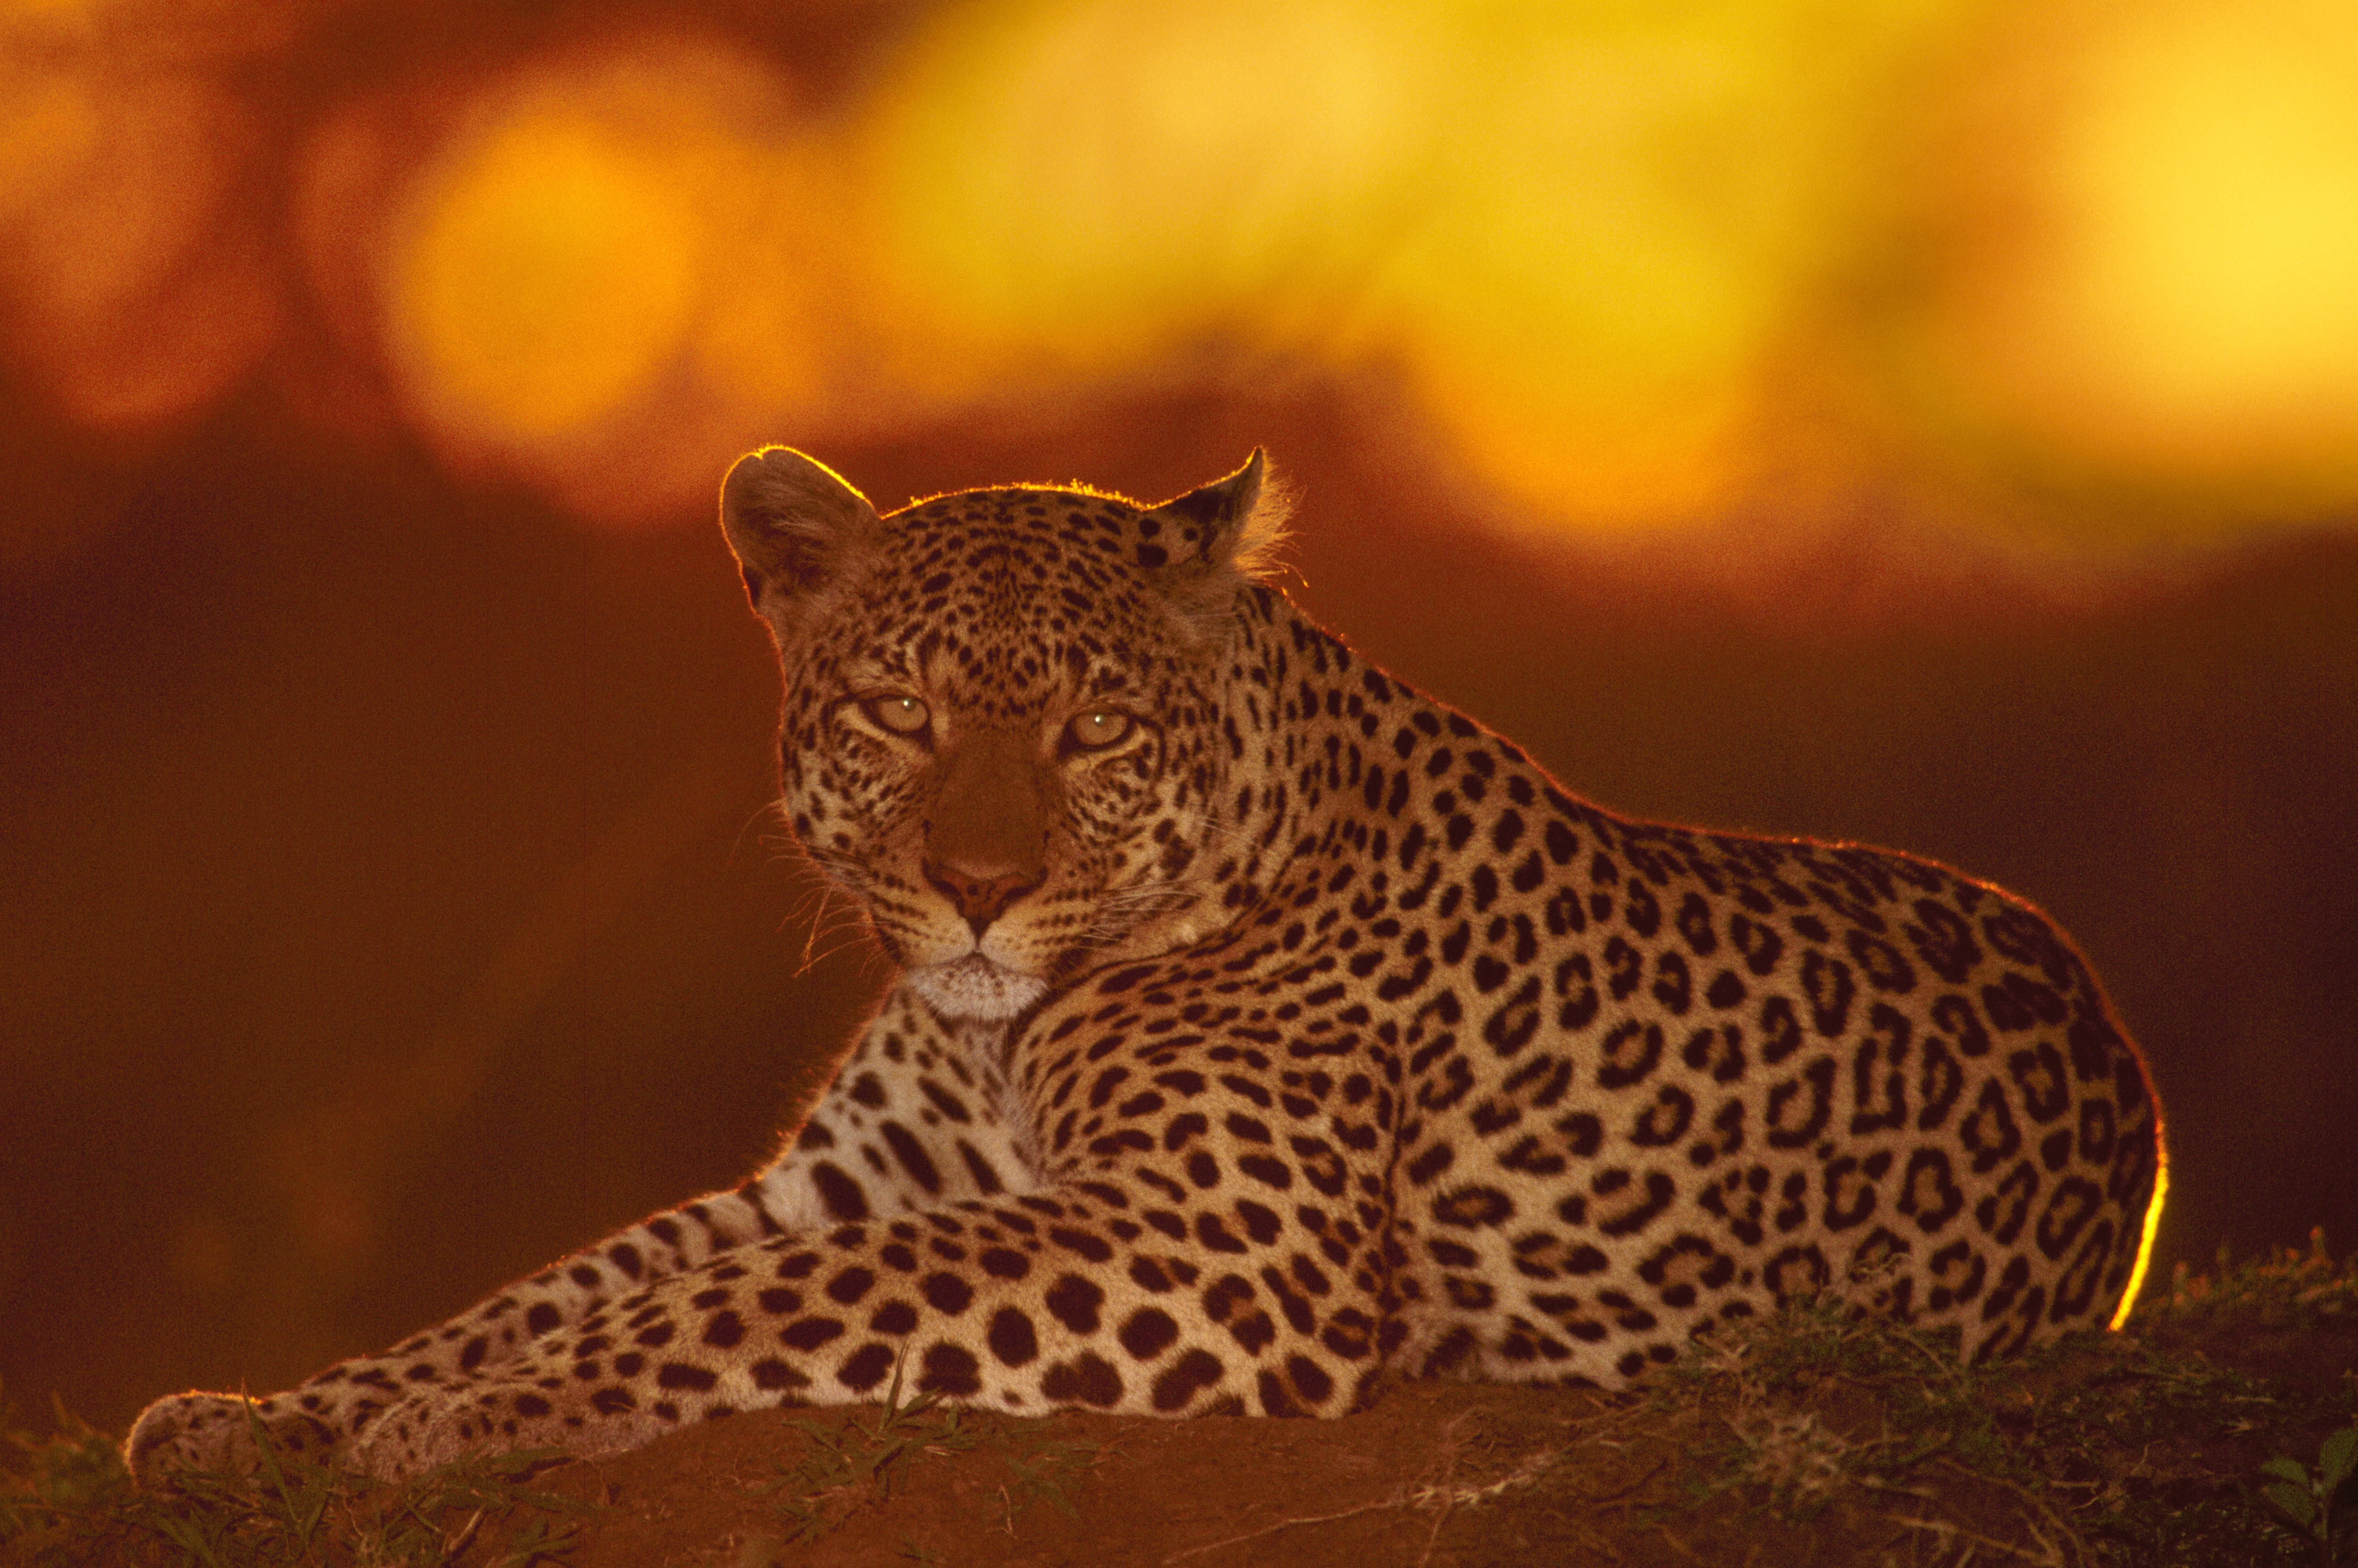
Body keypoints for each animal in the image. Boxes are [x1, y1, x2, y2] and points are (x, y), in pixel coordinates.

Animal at [127, 445, 2167, 1485]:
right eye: (896, 710)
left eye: (1094, 728)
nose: (974, 887)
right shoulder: (834, 1184)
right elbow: (563, 1283)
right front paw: (272, 1415)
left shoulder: (1213, 1241)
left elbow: (741, 1307)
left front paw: (444, 1421)